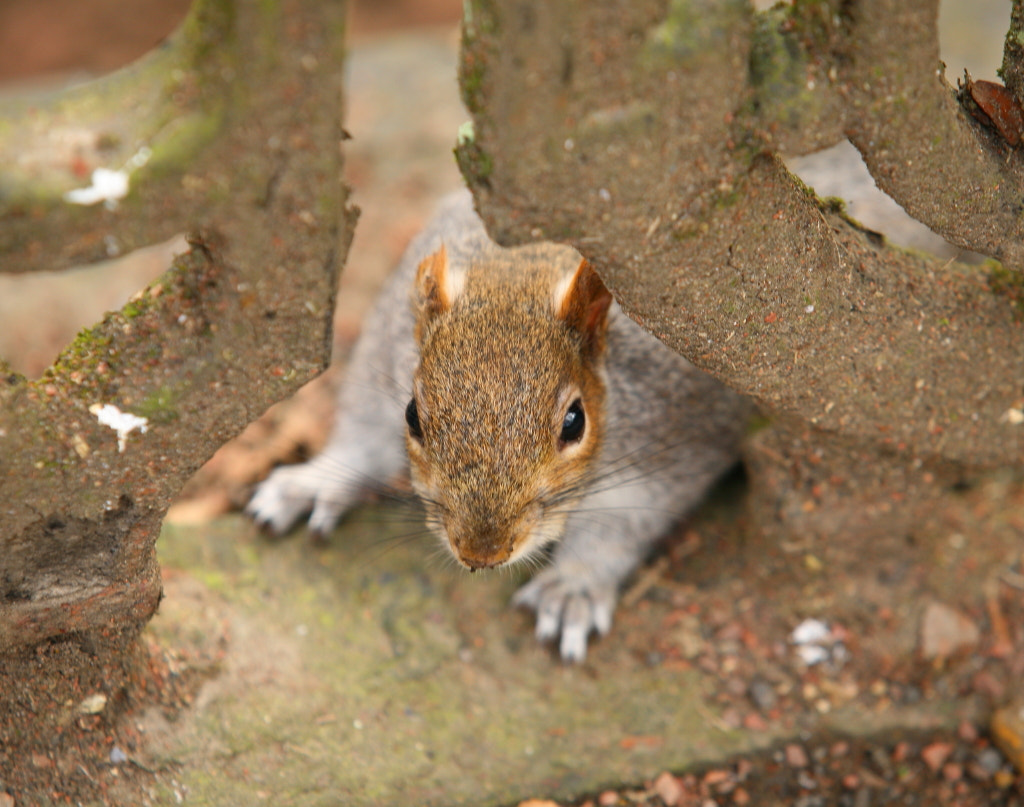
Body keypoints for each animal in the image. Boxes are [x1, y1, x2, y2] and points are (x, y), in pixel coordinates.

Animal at [243, 189, 749, 663]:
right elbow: (364, 435)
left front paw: (573, 586)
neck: (521, 275)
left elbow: (623, 521)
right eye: (412, 415)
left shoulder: (677, 426)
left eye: (575, 422)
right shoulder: (384, 352)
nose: (481, 553)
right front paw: (317, 480)